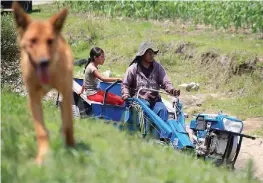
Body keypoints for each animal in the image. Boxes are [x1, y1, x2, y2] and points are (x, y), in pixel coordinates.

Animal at [11, 1, 75, 164]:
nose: (44, 62)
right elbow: (41, 130)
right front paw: (43, 155)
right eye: (32, 41)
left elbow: (68, 123)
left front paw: (71, 147)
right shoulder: (34, 96)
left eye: (50, 41)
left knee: (66, 116)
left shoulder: (66, 93)